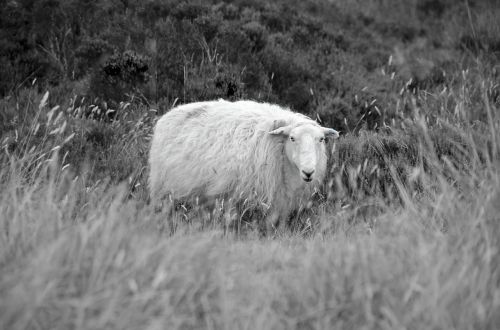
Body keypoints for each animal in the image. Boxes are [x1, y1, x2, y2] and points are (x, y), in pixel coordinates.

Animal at [146, 99, 338, 231]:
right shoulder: (235, 195)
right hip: (162, 190)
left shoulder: (281, 202)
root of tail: (169, 113)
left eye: (321, 139)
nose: (308, 172)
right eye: (292, 138)